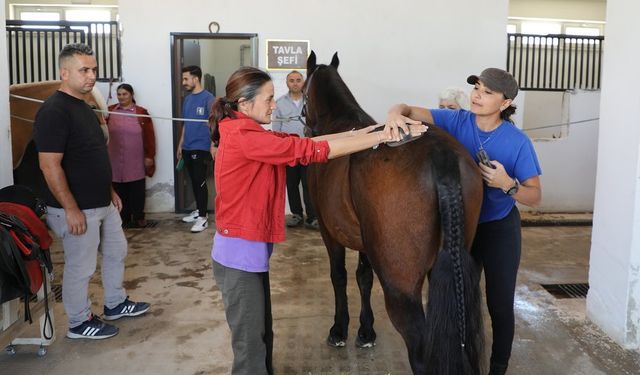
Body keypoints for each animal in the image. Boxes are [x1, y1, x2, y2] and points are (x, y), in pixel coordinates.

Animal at [304, 50, 484, 375]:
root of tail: (441, 155)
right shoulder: (364, 240)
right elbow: (363, 278)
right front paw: (366, 331)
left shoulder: (329, 231)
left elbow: (339, 276)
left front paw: (339, 330)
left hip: (401, 289)